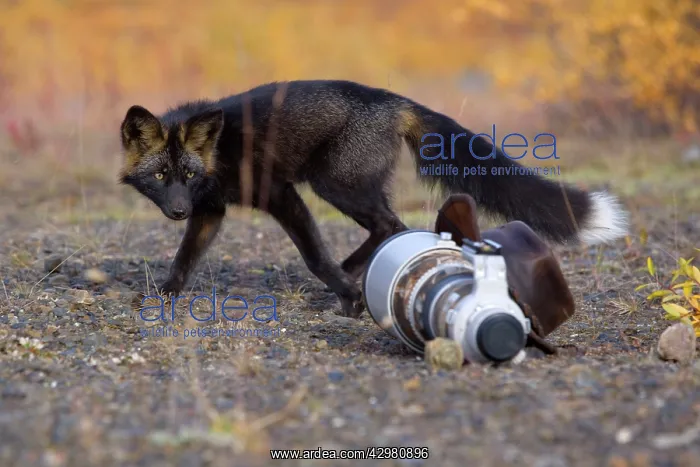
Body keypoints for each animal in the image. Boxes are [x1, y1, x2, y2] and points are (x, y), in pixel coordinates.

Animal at [118, 79, 629, 318]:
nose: (177, 209)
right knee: (389, 226)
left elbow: (314, 257)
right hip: (347, 187)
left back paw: (348, 282)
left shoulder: (281, 194)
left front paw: (347, 296)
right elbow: (184, 259)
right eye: (162, 175)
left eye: (186, 174)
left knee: (392, 226)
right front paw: (163, 296)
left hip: (334, 185)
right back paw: (352, 270)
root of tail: (392, 99)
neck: (219, 154)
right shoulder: (210, 210)